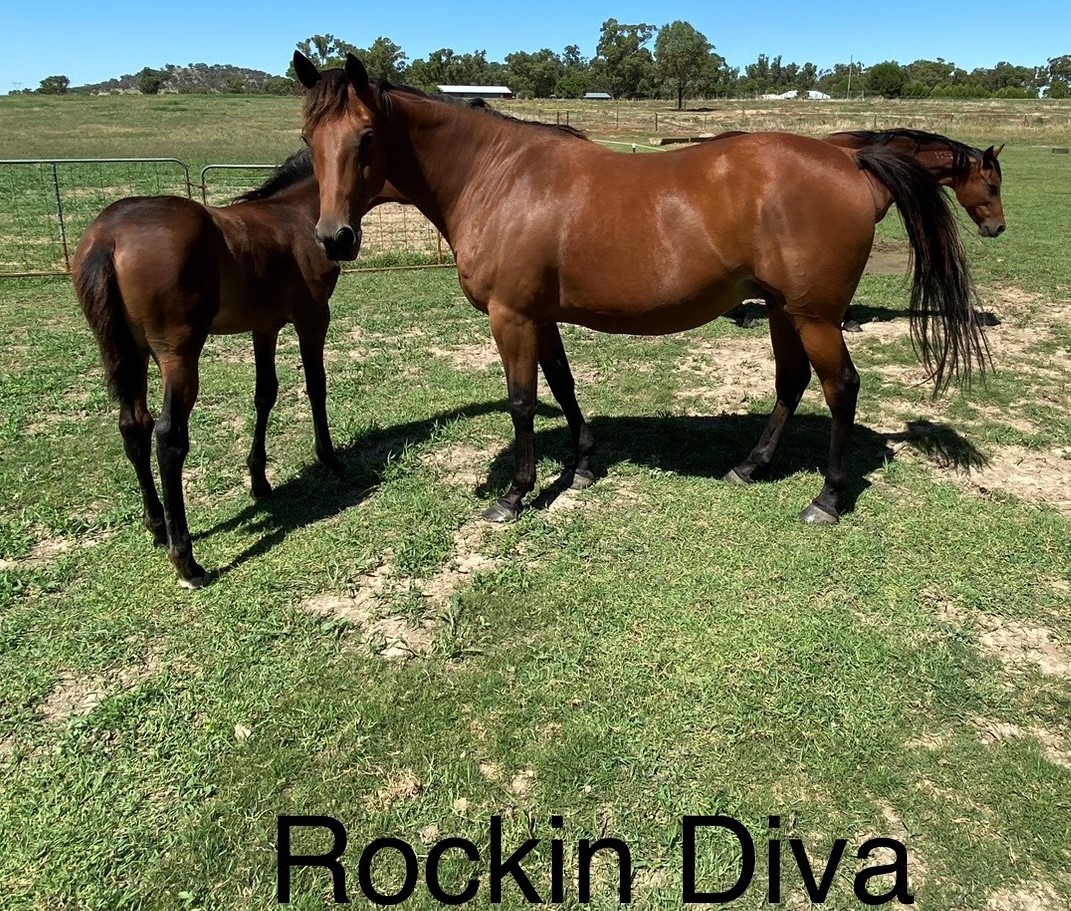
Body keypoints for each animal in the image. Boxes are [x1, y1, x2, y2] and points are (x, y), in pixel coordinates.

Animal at [75, 150, 349, 588]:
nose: (343, 238)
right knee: (168, 437)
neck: (294, 214)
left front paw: (259, 481)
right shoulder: (313, 317)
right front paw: (329, 458)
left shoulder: (264, 326)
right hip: (179, 356)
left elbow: (265, 394)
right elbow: (316, 386)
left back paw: (157, 527)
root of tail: (108, 237)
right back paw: (186, 559)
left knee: (134, 426)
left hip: (131, 352)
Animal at [294, 52, 989, 528]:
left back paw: (827, 498)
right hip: (784, 310)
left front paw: (515, 495)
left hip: (816, 315)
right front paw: (582, 465)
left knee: (840, 388)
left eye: (365, 137)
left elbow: (522, 401)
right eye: (308, 139)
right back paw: (750, 466)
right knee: (791, 383)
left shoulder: (510, 316)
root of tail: (849, 161)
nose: (334, 238)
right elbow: (563, 385)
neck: (498, 176)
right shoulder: (539, 316)